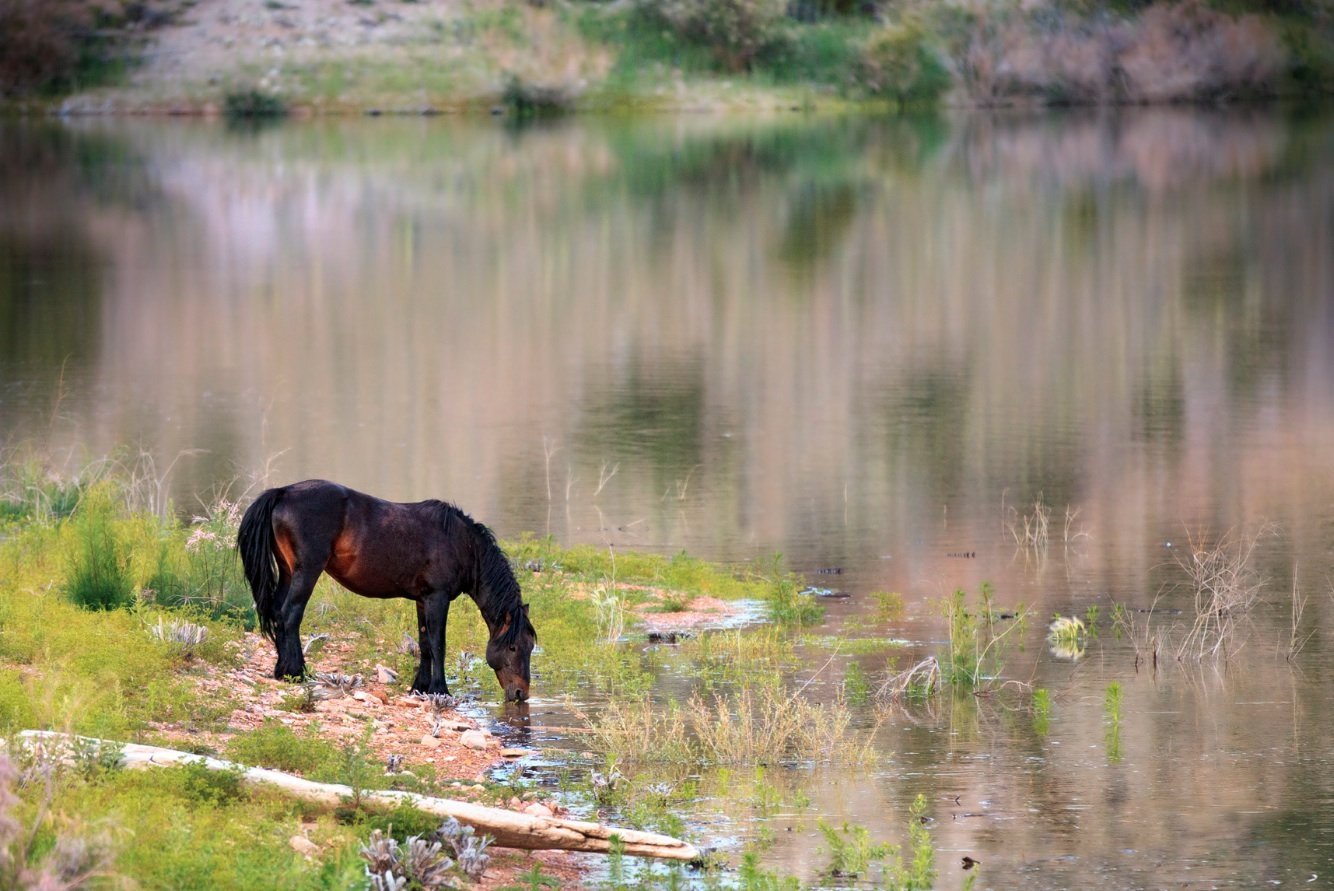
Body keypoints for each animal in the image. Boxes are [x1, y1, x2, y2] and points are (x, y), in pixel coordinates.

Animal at [237, 480, 533, 704]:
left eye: (531, 646)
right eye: (513, 646)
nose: (521, 693)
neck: (461, 543)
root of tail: (283, 491)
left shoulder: (423, 600)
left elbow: (425, 644)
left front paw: (420, 687)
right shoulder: (437, 598)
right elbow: (438, 643)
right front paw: (441, 690)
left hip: (288, 572)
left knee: (277, 613)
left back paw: (281, 671)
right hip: (306, 572)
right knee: (290, 615)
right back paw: (297, 672)